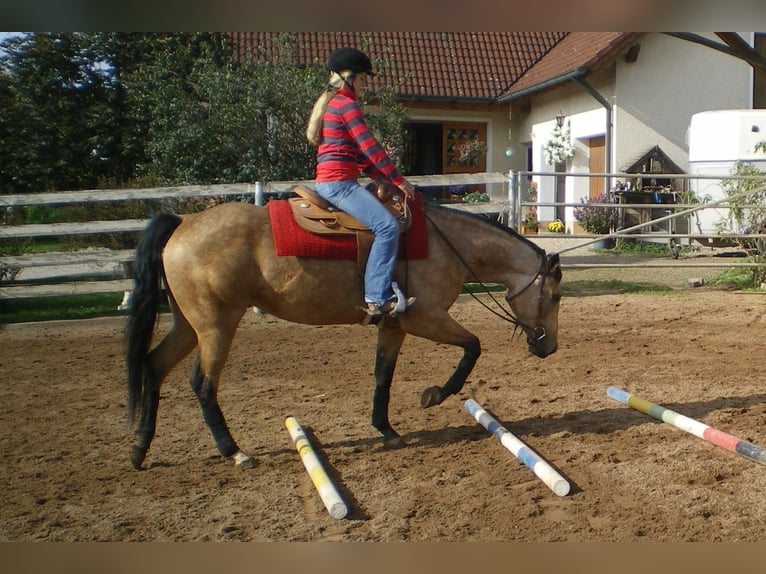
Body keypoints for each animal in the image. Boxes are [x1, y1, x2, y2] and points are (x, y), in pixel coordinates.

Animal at [126, 194, 564, 472]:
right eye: (555, 296)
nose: (550, 347)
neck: (446, 244)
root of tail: (184, 222)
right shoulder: (425, 318)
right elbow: (473, 347)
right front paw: (434, 395)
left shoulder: (394, 325)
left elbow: (383, 375)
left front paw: (386, 429)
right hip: (217, 325)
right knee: (202, 384)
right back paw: (234, 452)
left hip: (189, 325)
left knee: (153, 365)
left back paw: (138, 450)